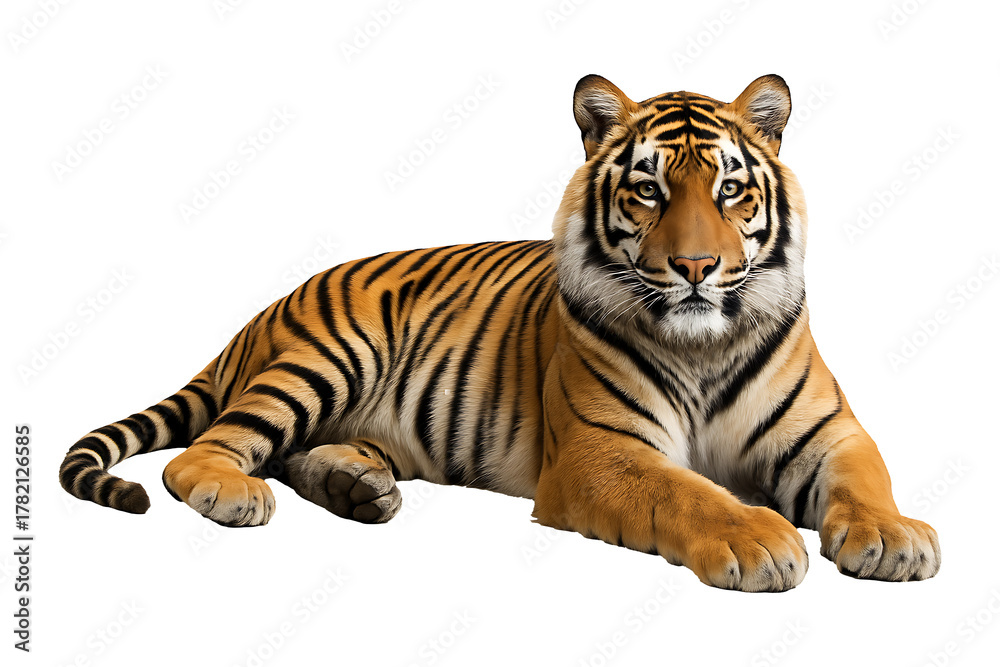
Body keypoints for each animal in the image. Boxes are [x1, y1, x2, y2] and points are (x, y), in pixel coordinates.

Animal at [60, 74, 940, 592]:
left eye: (730, 190)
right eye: (649, 190)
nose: (695, 265)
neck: (704, 342)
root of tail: (263, 309)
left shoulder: (830, 433)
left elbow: (867, 480)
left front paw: (896, 536)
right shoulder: (600, 452)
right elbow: (686, 490)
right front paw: (756, 537)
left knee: (292, 451)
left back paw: (358, 486)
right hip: (326, 358)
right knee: (207, 451)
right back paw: (236, 491)